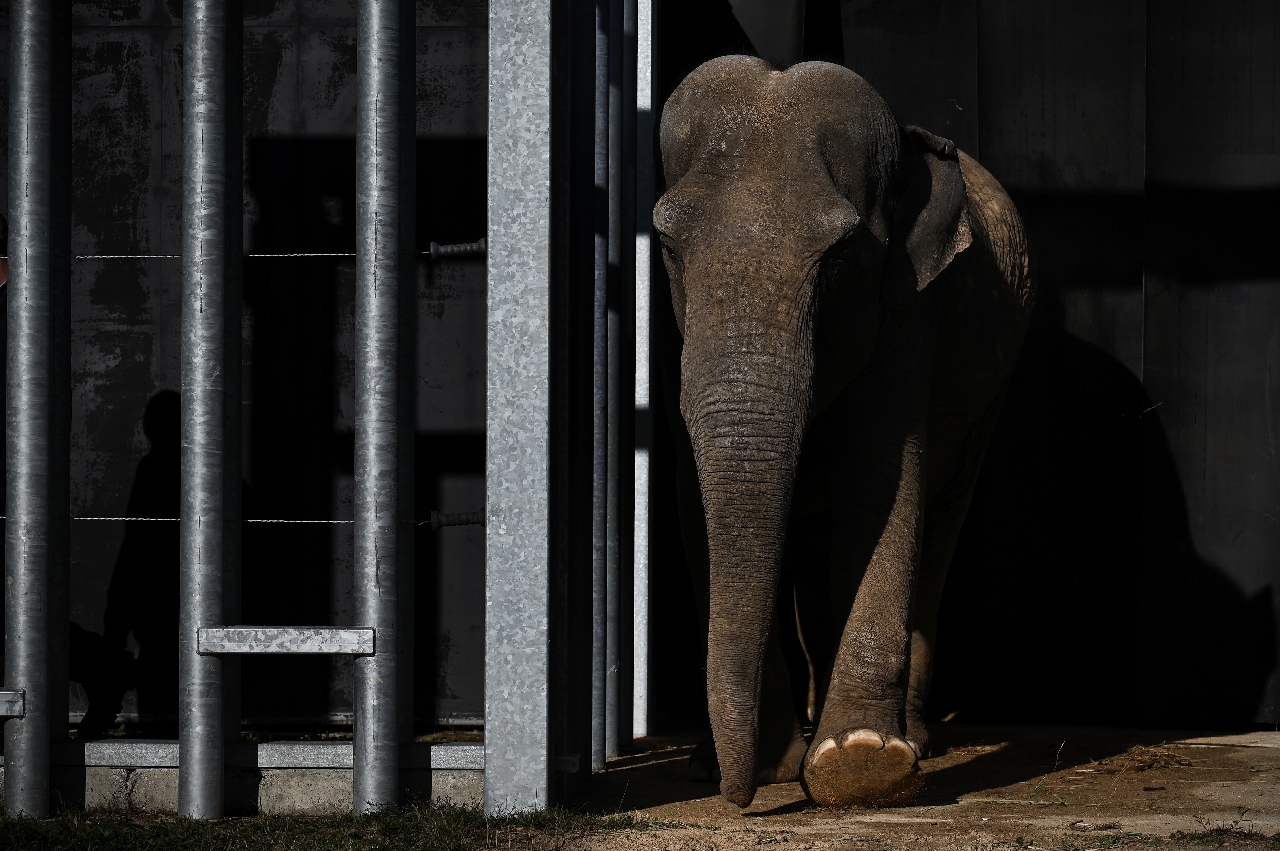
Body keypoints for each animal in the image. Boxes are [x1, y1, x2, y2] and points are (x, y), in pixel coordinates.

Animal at [655, 56, 1034, 808]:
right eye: (668, 246)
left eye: (840, 255)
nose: (740, 799)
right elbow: (692, 503)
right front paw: (760, 763)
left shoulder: (910, 314)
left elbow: (884, 484)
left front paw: (860, 763)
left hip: (992, 396)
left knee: (939, 525)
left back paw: (908, 739)